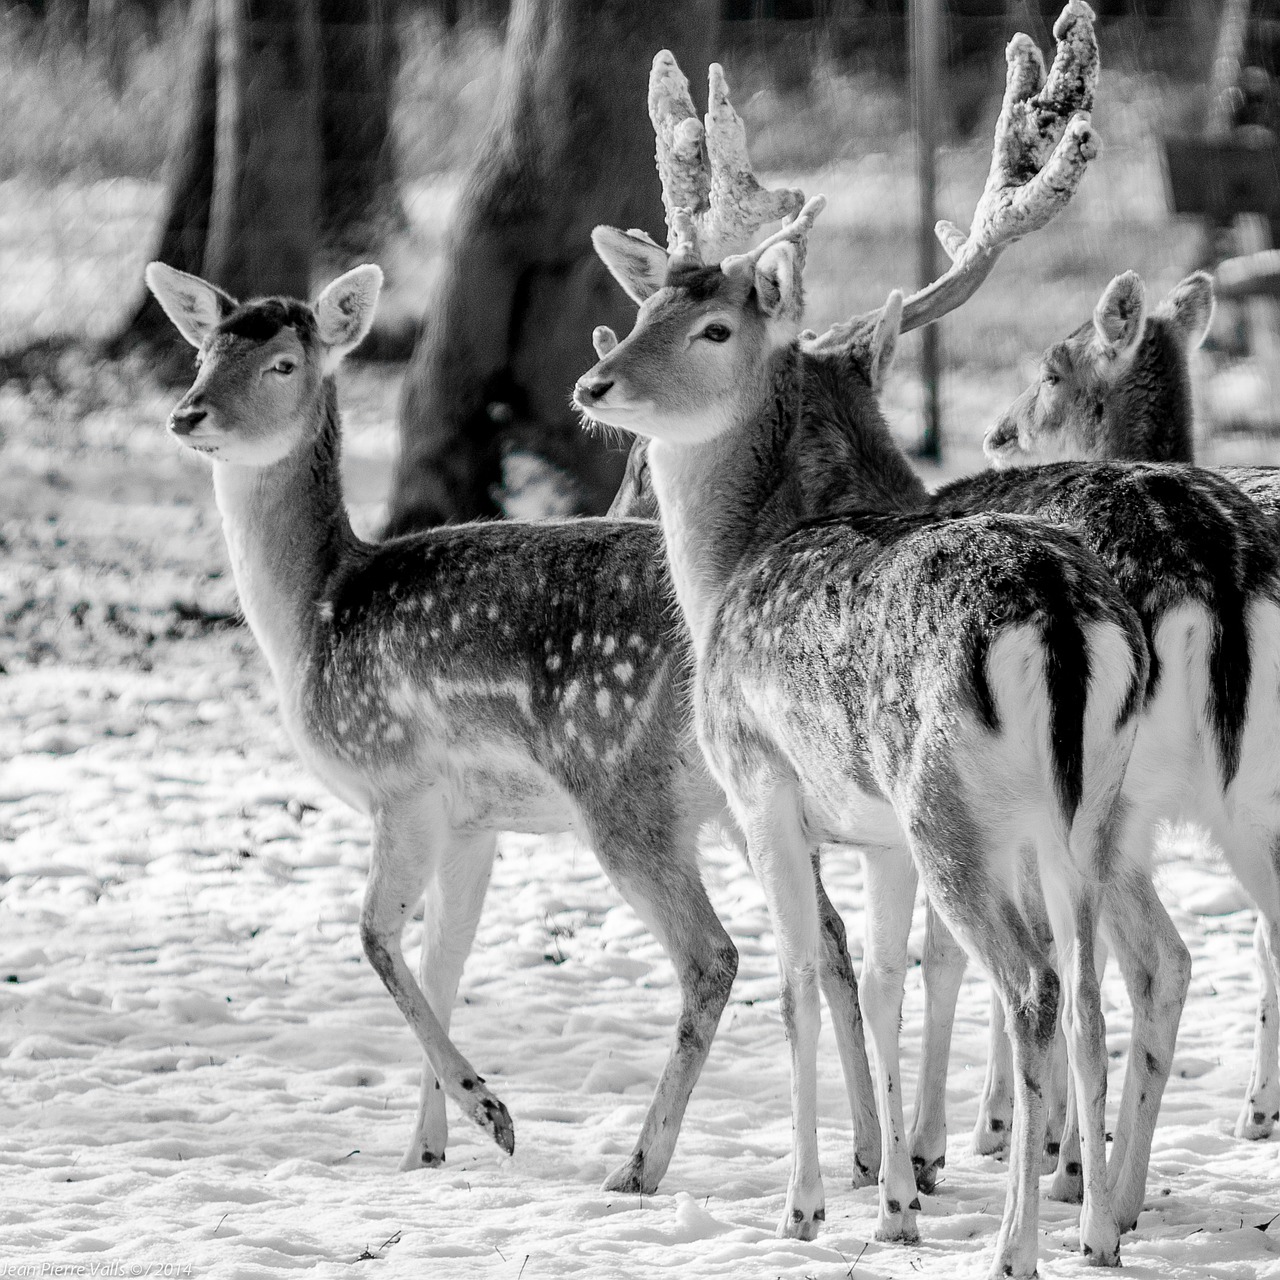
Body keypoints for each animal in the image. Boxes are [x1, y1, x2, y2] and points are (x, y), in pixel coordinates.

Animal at [578, 10, 1162, 1269]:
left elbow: (804, 976)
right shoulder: (876, 831)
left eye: (712, 324)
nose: (593, 382)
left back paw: (1014, 1242)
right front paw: (891, 1193)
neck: (728, 567)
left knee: (1032, 985)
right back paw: (1094, 1225)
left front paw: (806, 1202)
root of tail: (1057, 616)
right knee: (1096, 983)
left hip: (946, 803)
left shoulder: (761, 785)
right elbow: (887, 979)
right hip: (1088, 811)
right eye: (645, 305)